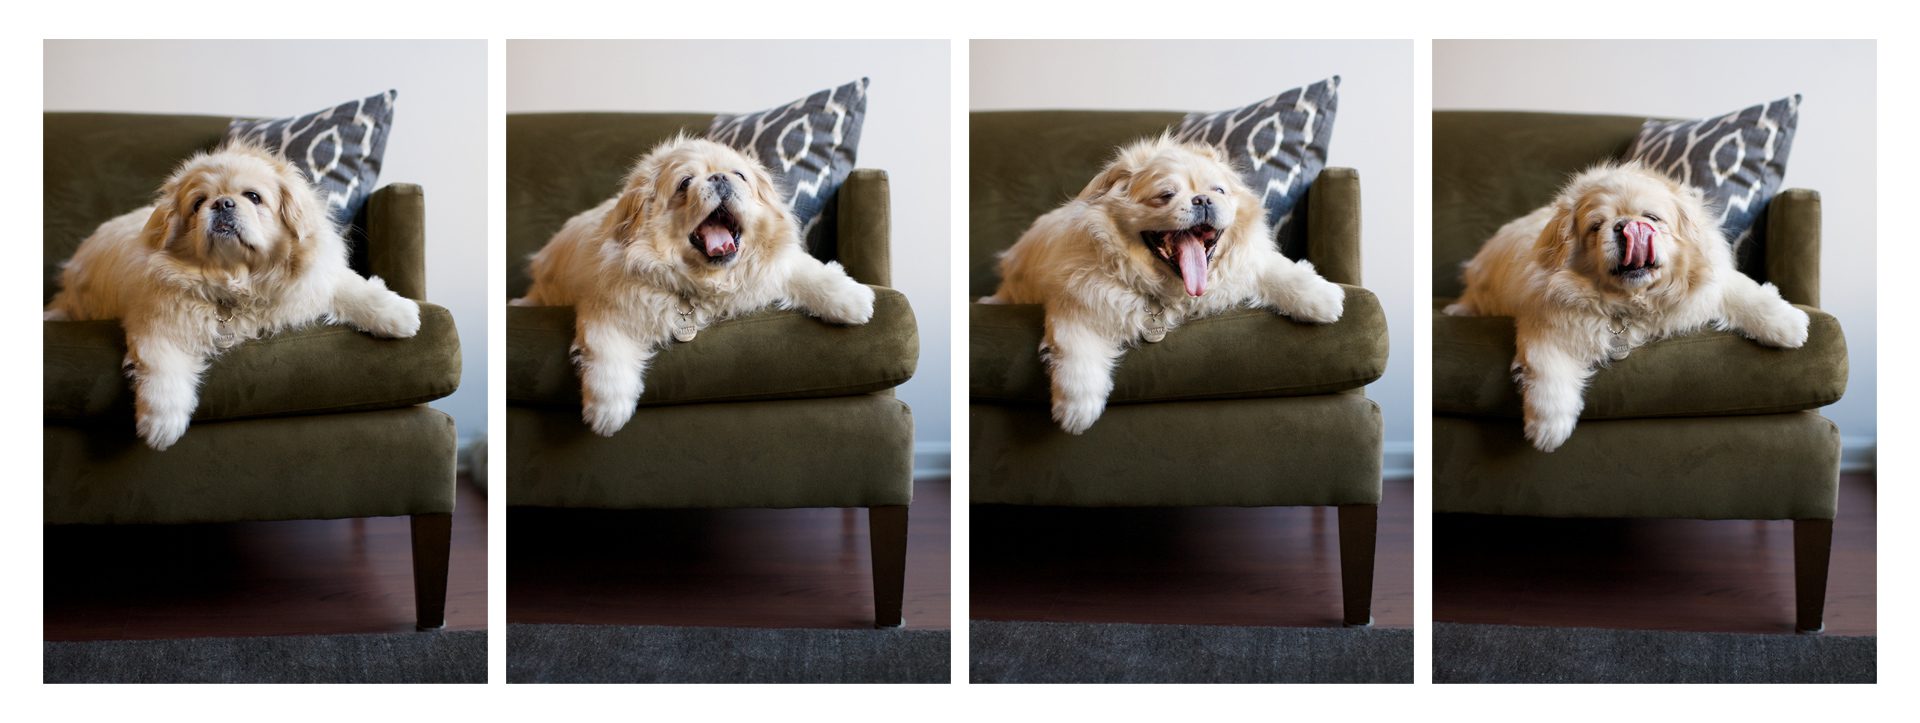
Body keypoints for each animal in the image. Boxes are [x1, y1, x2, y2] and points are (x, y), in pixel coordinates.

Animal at [50, 142, 426, 448]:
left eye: (254, 197)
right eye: (198, 203)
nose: (222, 203)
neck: (238, 280)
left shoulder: (317, 282)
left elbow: (356, 289)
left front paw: (399, 316)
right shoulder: (156, 327)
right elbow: (163, 376)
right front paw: (161, 428)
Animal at [510, 139, 871, 437]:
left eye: (739, 176)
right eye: (685, 183)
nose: (720, 178)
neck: (703, 282)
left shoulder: (778, 268)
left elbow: (813, 274)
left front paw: (854, 301)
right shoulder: (604, 311)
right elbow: (607, 362)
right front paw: (607, 415)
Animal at [983, 132, 1344, 431]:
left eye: (1219, 191)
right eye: (1165, 195)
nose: (1203, 199)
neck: (1172, 290)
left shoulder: (1247, 266)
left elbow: (1282, 272)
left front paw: (1323, 300)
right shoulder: (1075, 306)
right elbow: (1077, 359)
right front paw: (1077, 412)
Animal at [1443, 162, 1804, 450]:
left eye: (1652, 218)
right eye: (1596, 226)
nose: (1625, 226)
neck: (1631, 304)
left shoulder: (1713, 286)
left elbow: (1748, 294)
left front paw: (1788, 326)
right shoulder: (1544, 328)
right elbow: (1548, 378)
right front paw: (1548, 431)